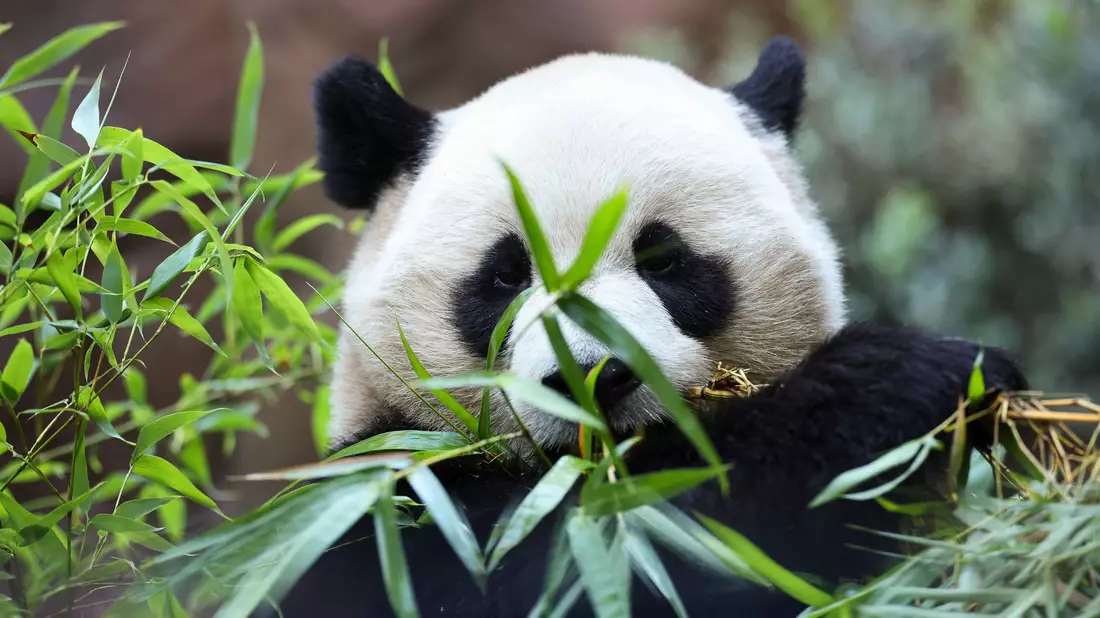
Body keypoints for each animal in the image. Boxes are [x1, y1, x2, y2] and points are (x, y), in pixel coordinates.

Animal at [276, 37, 1026, 617]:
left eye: (662, 258)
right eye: (506, 276)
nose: (591, 375)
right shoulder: (372, 504)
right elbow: (585, 550)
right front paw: (907, 381)